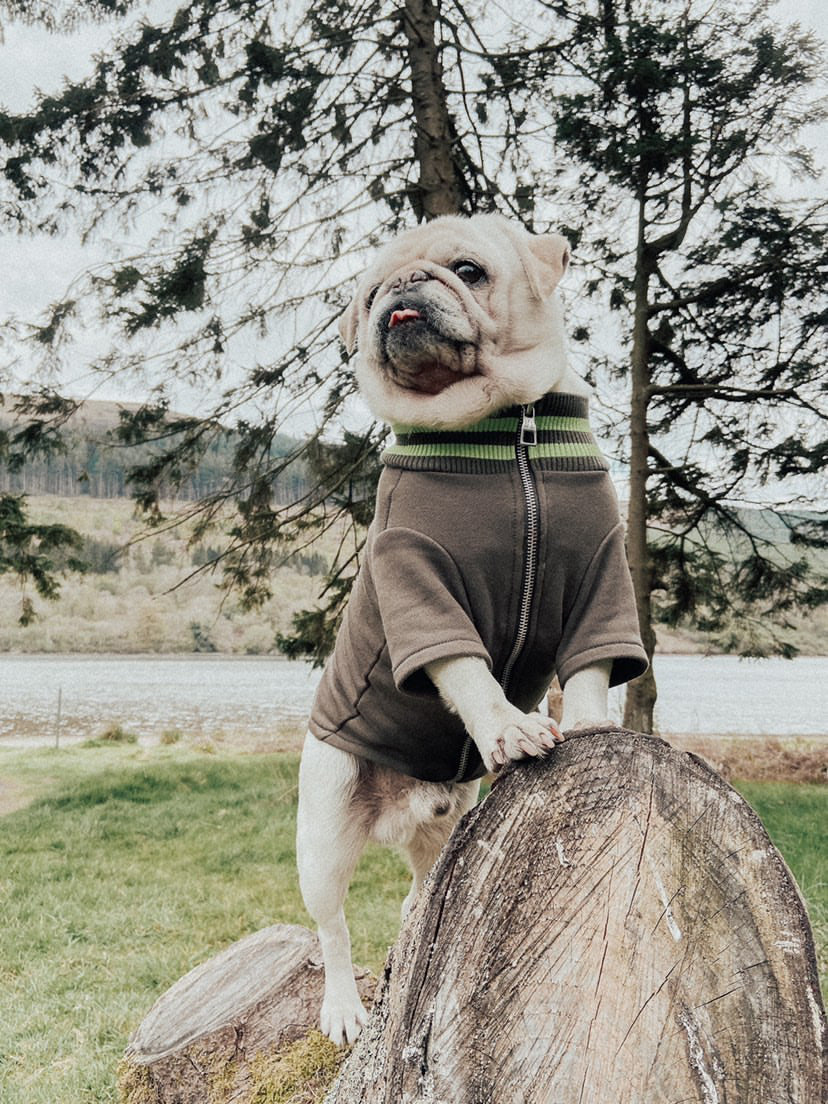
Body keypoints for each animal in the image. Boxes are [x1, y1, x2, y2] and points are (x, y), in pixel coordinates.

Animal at [295, 213, 649, 1042]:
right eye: (367, 294)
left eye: (467, 270)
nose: (401, 287)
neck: (503, 429)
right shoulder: (418, 585)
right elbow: (468, 672)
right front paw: (509, 727)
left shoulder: (601, 577)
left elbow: (591, 668)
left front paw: (589, 722)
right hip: (323, 831)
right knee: (332, 927)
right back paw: (344, 1008)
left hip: (444, 824)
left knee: (419, 887)